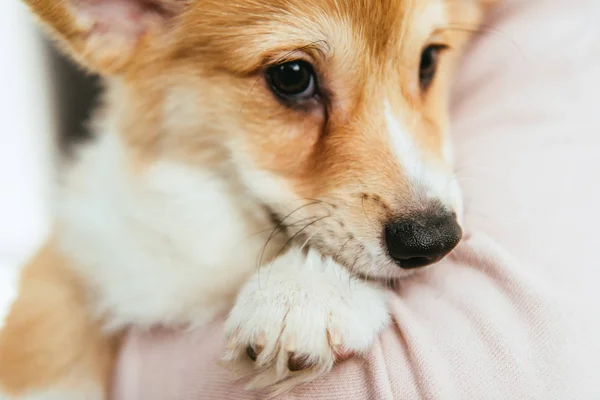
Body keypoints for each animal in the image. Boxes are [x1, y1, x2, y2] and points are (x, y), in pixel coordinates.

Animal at [0, 0, 494, 396]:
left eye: (428, 59)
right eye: (291, 77)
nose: (434, 239)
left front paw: (304, 292)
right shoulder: (79, 245)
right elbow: (42, 341)